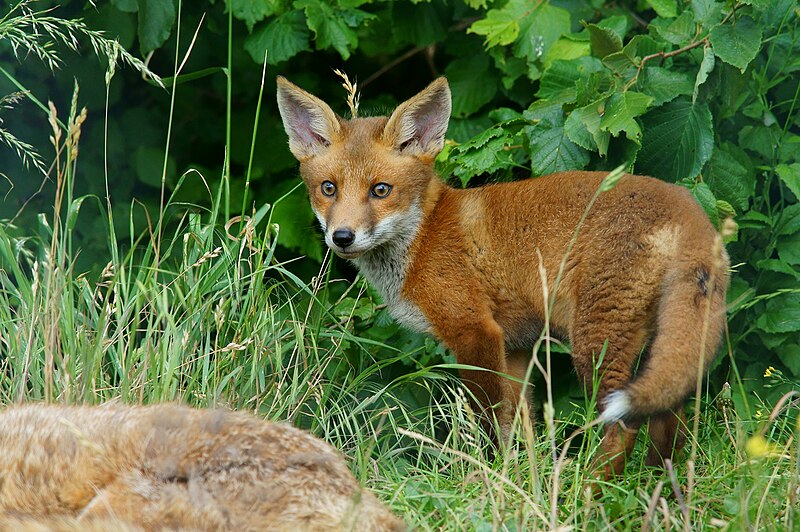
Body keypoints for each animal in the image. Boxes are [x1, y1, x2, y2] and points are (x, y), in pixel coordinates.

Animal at [276, 76, 732, 478]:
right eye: (329, 189)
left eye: (380, 190)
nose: (342, 237)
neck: (423, 238)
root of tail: (690, 208)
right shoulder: (516, 348)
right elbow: (521, 427)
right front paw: (518, 482)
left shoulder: (476, 332)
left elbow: (490, 425)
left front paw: (487, 480)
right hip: (662, 344)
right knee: (669, 422)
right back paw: (654, 490)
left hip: (596, 343)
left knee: (624, 426)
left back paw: (594, 492)